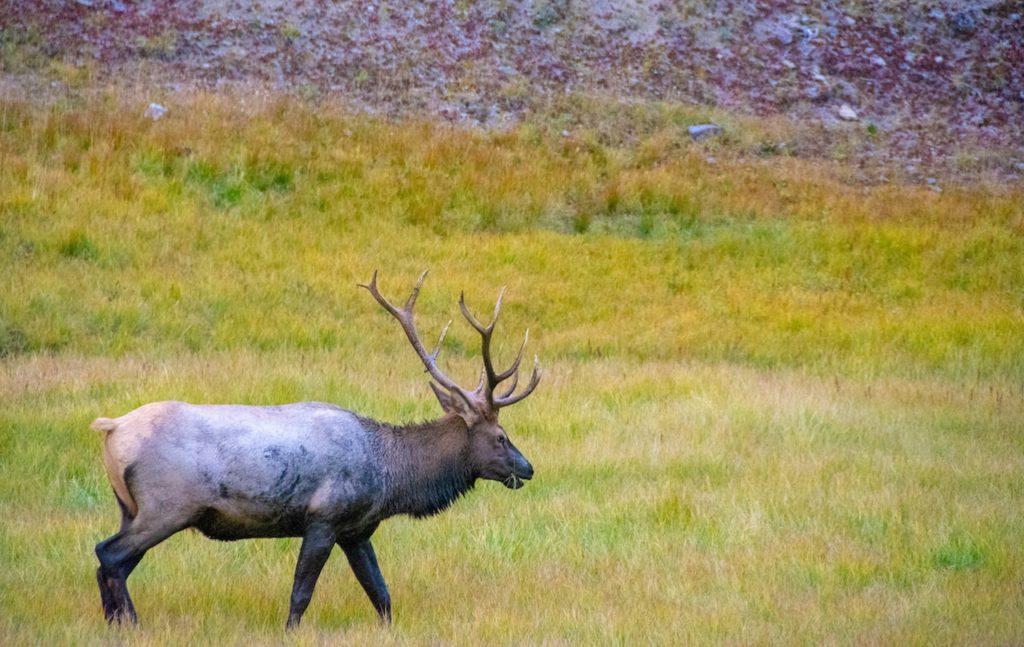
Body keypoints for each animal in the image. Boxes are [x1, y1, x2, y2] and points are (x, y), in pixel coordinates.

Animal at [92, 272, 540, 626]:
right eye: (500, 437)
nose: (528, 467)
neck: (390, 477)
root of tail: (112, 429)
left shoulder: (357, 530)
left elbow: (381, 594)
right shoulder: (324, 518)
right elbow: (300, 595)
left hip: (130, 507)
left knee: (109, 562)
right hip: (167, 507)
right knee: (109, 555)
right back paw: (131, 624)